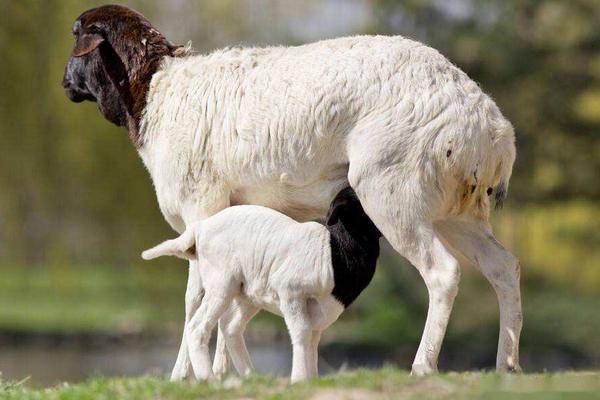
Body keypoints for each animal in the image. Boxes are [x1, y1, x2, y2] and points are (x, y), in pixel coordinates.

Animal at [141, 188, 380, 382]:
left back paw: (251, 376)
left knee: (230, 327)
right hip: (221, 285)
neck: (334, 250)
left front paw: (311, 380)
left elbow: (313, 340)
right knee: (197, 328)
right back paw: (210, 379)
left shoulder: (318, 312)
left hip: (247, 294)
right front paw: (299, 379)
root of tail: (200, 227)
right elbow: (301, 332)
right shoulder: (290, 293)